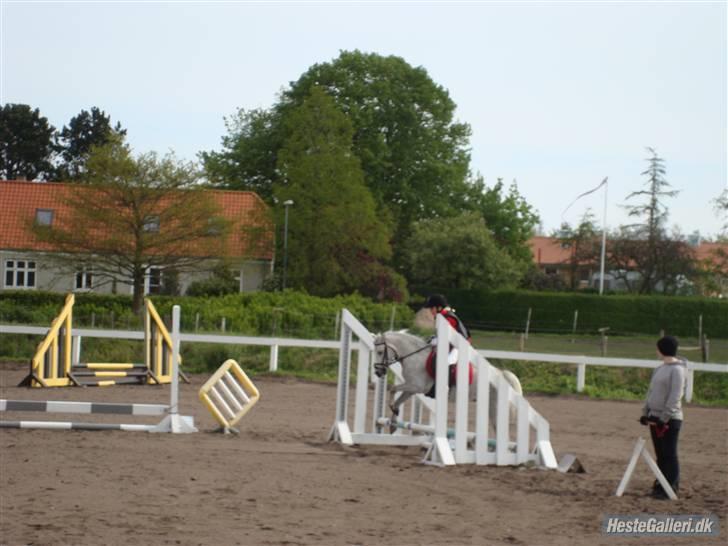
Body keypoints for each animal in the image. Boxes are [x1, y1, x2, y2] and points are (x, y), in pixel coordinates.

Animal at [372, 330, 520, 432]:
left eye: (379, 352)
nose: (378, 372)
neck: (415, 357)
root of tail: (501, 373)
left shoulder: (416, 386)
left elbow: (393, 389)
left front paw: (393, 411)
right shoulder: (411, 389)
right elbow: (397, 398)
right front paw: (393, 423)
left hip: (495, 407)